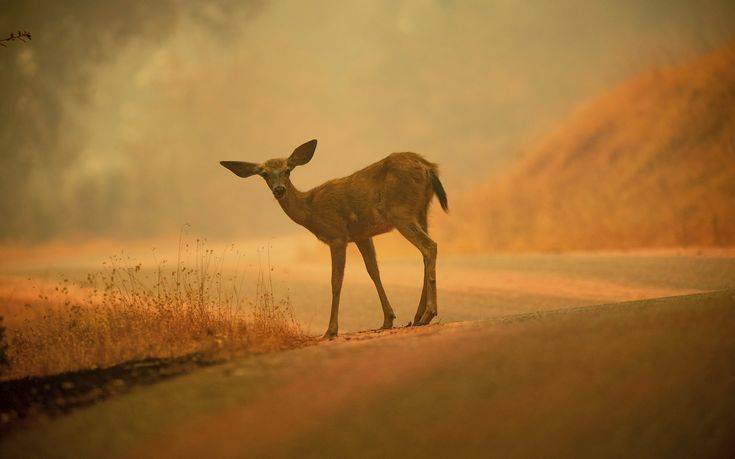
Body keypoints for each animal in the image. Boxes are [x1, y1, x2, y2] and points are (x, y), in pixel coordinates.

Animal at [218, 138, 448, 340]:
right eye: (264, 174)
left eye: (287, 170)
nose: (279, 189)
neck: (311, 211)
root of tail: (428, 167)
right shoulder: (362, 235)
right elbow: (373, 271)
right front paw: (387, 319)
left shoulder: (336, 235)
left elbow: (336, 281)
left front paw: (330, 331)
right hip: (421, 211)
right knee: (425, 253)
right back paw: (418, 316)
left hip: (400, 211)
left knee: (429, 246)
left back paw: (428, 313)